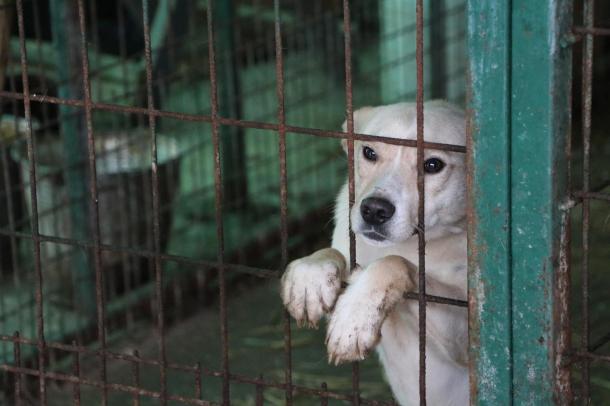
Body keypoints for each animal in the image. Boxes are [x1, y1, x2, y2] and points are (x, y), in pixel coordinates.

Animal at [280, 101, 466, 406]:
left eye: (433, 165)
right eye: (369, 152)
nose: (374, 210)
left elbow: (395, 262)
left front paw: (355, 316)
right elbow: (333, 253)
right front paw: (310, 276)